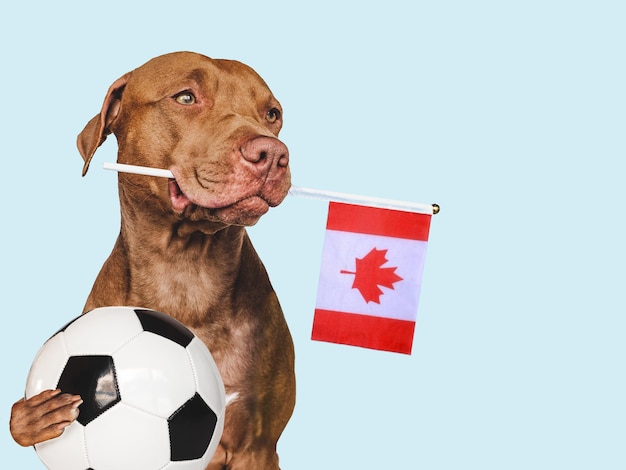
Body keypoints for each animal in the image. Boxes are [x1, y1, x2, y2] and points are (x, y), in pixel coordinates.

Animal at [10, 51, 294, 470]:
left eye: (272, 113)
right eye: (186, 97)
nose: (272, 153)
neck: (186, 272)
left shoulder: (256, 445)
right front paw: (31, 417)